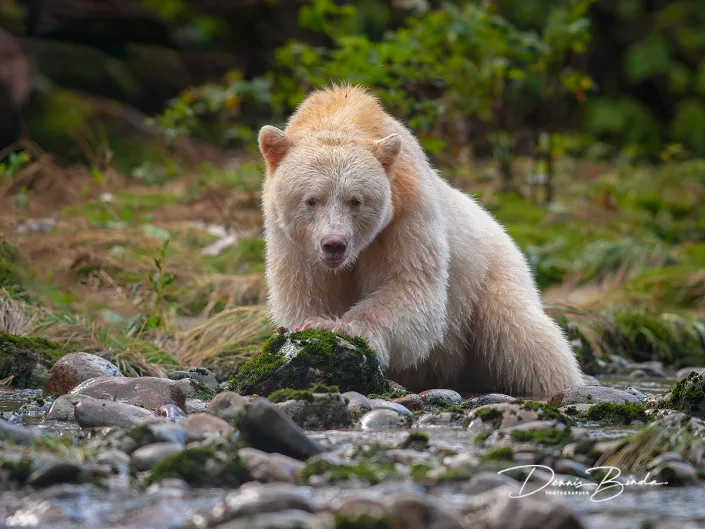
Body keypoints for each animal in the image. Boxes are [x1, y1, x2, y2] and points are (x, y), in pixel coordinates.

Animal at [257, 84, 584, 397]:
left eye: (355, 201)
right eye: (312, 200)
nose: (334, 244)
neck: (341, 113)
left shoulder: (405, 217)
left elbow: (410, 287)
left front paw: (336, 326)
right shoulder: (290, 240)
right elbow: (306, 291)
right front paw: (310, 322)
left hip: (489, 280)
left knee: (525, 339)